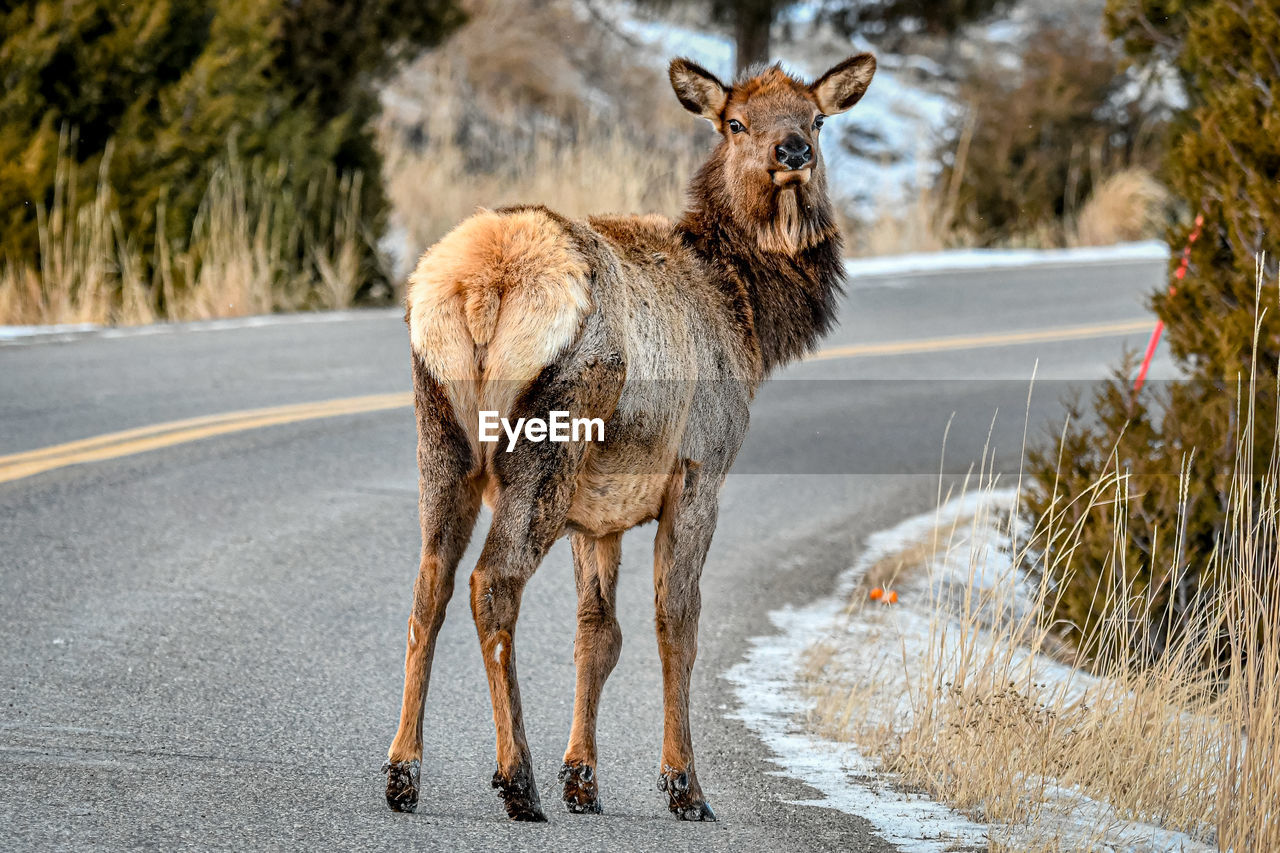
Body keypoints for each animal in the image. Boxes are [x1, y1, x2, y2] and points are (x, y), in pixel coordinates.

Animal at [378, 51, 875, 819]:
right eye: (736, 122)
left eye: (816, 118)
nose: (793, 152)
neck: (749, 320)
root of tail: (483, 286)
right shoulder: (701, 469)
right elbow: (677, 622)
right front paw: (683, 785)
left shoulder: (600, 512)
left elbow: (598, 634)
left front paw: (582, 775)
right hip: (549, 440)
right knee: (493, 582)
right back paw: (516, 778)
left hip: (440, 432)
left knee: (429, 584)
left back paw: (403, 770)